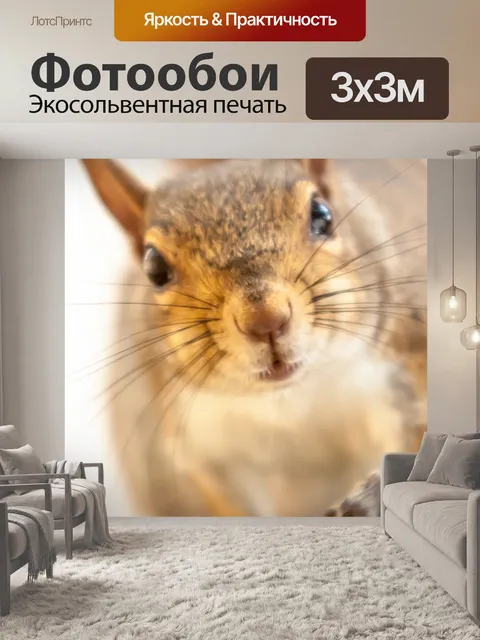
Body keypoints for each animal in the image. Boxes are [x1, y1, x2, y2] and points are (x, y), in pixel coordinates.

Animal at [81, 158, 426, 517]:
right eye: (154, 266)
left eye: (322, 215)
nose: (265, 320)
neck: (290, 402)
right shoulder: (207, 452)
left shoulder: (405, 366)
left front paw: (365, 498)